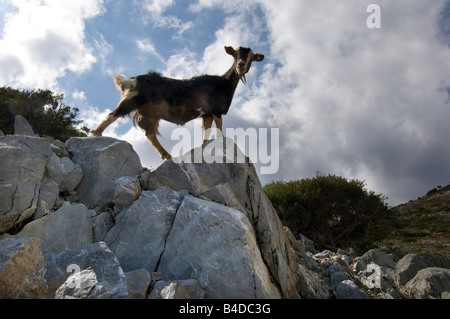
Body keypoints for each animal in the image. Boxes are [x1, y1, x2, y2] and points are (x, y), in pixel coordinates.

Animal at [93, 45, 266, 160]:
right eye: (235, 54)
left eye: (251, 57)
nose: (241, 65)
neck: (224, 83)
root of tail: (129, 81)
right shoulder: (216, 110)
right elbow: (220, 129)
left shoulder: (207, 114)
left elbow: (206, 132)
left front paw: (204, 146)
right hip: (132, 100)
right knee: (114, 113)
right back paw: (96, 133)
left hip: (149, 113)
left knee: (150, 134)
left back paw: (167, 155)